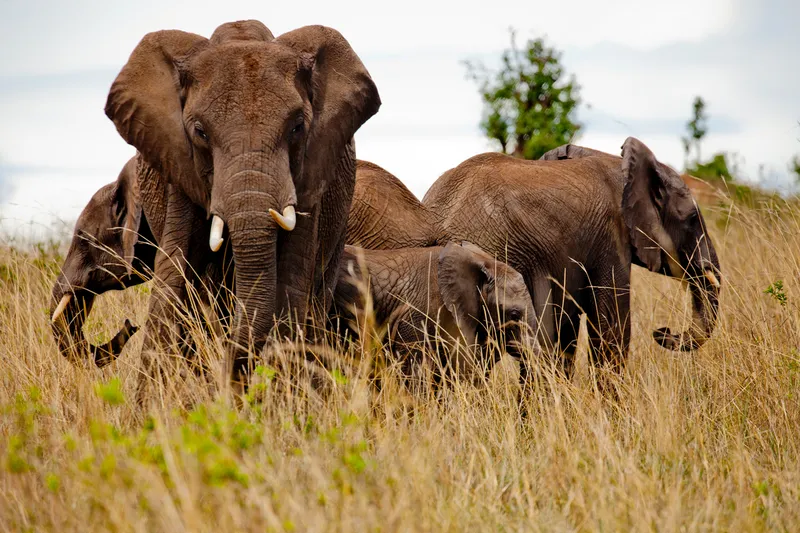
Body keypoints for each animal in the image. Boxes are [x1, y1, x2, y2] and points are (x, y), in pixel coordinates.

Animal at [103, 20, 381, 395]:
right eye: (200, 131)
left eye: (297, 127)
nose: (231, 384)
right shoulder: (179, 165)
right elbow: (172, 275)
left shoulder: (311, 171)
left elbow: (292, 281)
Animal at [421, 137, 722, 382]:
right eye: (692, 219)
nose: (662, 332)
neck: (621, 166)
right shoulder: (610, 239)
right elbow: (611, 333)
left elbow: (567, 335)